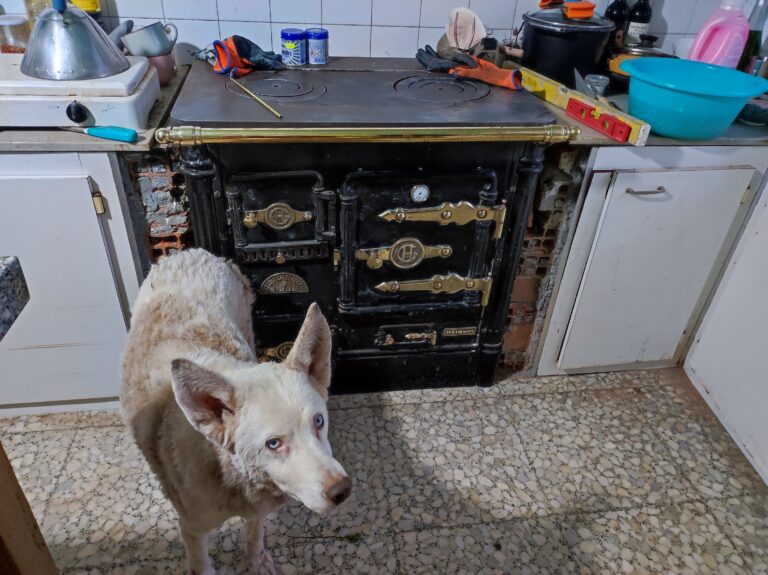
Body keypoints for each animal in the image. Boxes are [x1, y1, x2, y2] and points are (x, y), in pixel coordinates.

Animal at [121, 249, 350, 575]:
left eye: (318, 421)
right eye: (273, 444)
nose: (342, 490)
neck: (232, 479)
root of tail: (191, 251)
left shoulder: (256, 509)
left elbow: (255, 532)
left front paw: (255, 561)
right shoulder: (192, 528)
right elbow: (201, 564)